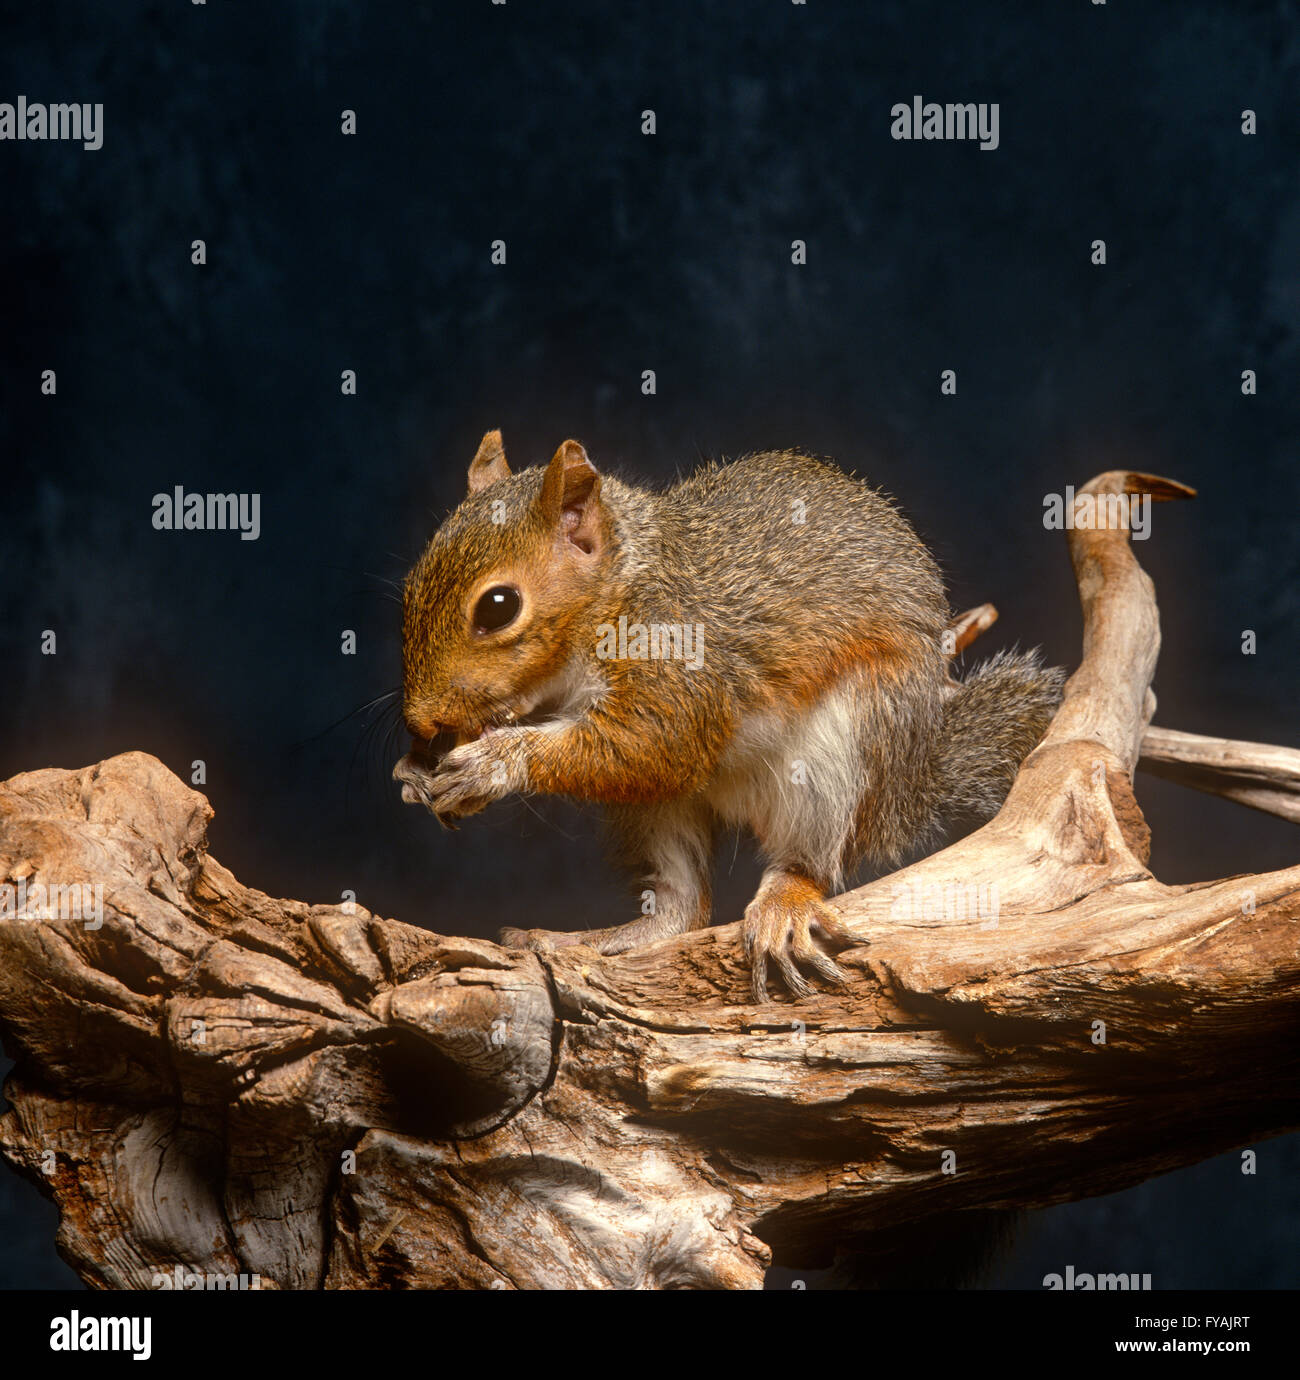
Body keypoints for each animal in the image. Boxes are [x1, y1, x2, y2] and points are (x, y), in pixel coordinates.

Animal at [391, 425, 1065, 999]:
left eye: (498, 606)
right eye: (412, 585)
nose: (421, 722)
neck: (617, 592)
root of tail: (906, 788)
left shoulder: (679, 658)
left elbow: (654, 743)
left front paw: (494, 763)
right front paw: (415, 771)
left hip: (843, 756)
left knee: (810, 859)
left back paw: (785, 902)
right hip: (656, 811)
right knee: (682, 906)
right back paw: (601, 937)